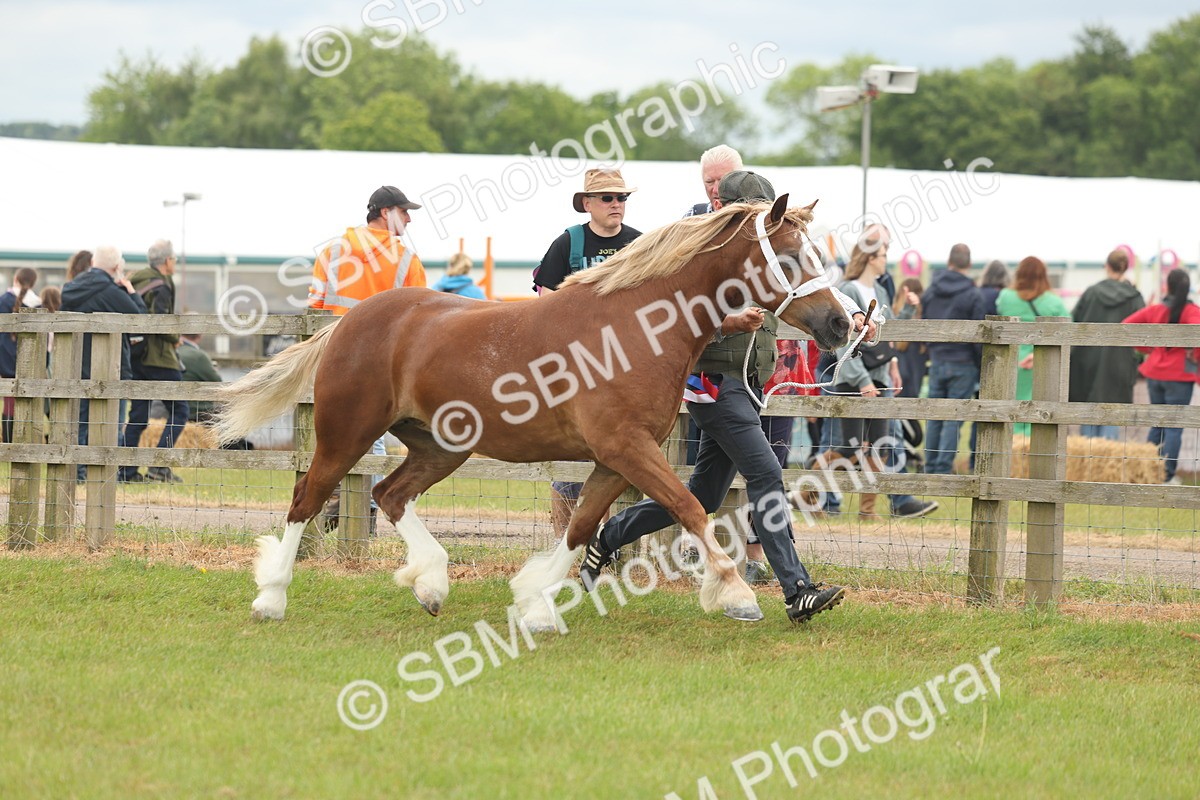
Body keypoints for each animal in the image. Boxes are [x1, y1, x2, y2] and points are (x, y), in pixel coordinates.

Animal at [214, 195, 853, 631]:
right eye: (792, 257)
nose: (842, 323)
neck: (637, 328)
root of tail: (350, 321)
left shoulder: (615, 459)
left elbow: (581, 527)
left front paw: (534, 605)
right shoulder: (628, 448)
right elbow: (690, 508)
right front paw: (736, 594)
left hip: (441, 446)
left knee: (390, 495)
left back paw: (431, 584)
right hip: (345, 433)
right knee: (308, 499)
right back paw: (271, 597)